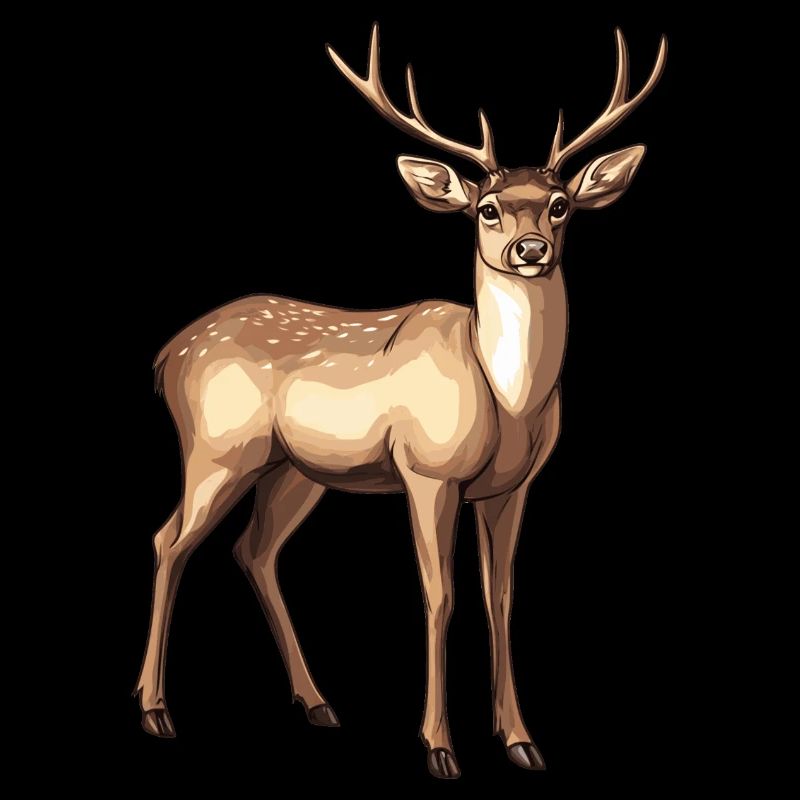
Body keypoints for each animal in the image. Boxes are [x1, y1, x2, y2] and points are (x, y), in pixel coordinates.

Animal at [135, 24, 666, 778]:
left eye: (561, 204)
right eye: (487, 209)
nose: (530, 248)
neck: (507, 403)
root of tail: (167, 355)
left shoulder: (513, 486)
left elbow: (501, 597)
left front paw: (522, 741)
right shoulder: (426, 469)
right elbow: (440, 595)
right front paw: (440, 747)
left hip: (294, 470)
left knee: (253, 550)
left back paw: (318, 703)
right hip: (217, 447)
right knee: (170, 540)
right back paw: (156, 711)